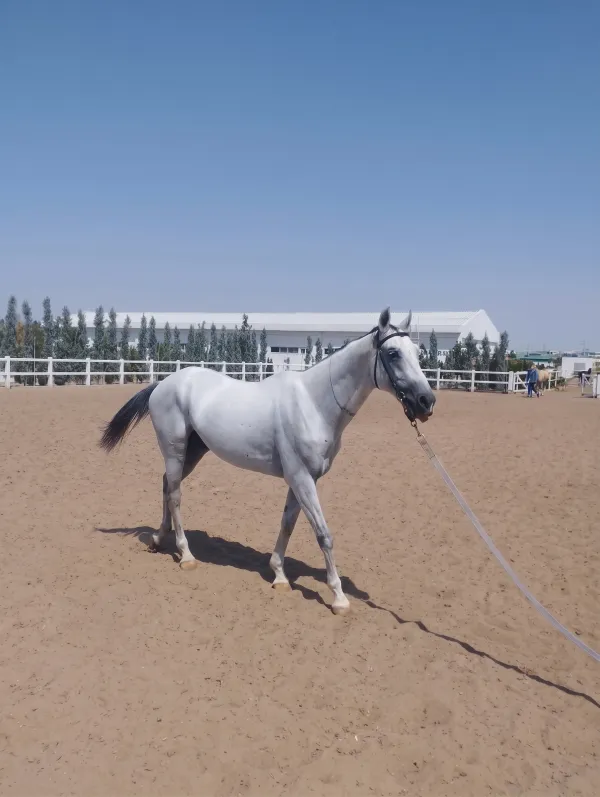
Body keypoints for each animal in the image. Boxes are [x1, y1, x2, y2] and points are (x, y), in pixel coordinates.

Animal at [100, 308, 436, 615]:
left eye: (417, 352)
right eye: (393, 353)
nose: (426, 402)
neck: (314, 403)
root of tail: (163, 384)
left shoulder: (302, 479)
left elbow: (288, 524)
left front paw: (279, 576)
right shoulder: (301, 478)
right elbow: (323, 534)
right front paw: (339, 597)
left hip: (192, 453)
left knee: (167, 487)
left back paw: (159, 539)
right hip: (175, 450)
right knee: (176, 495)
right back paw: (186, 555)